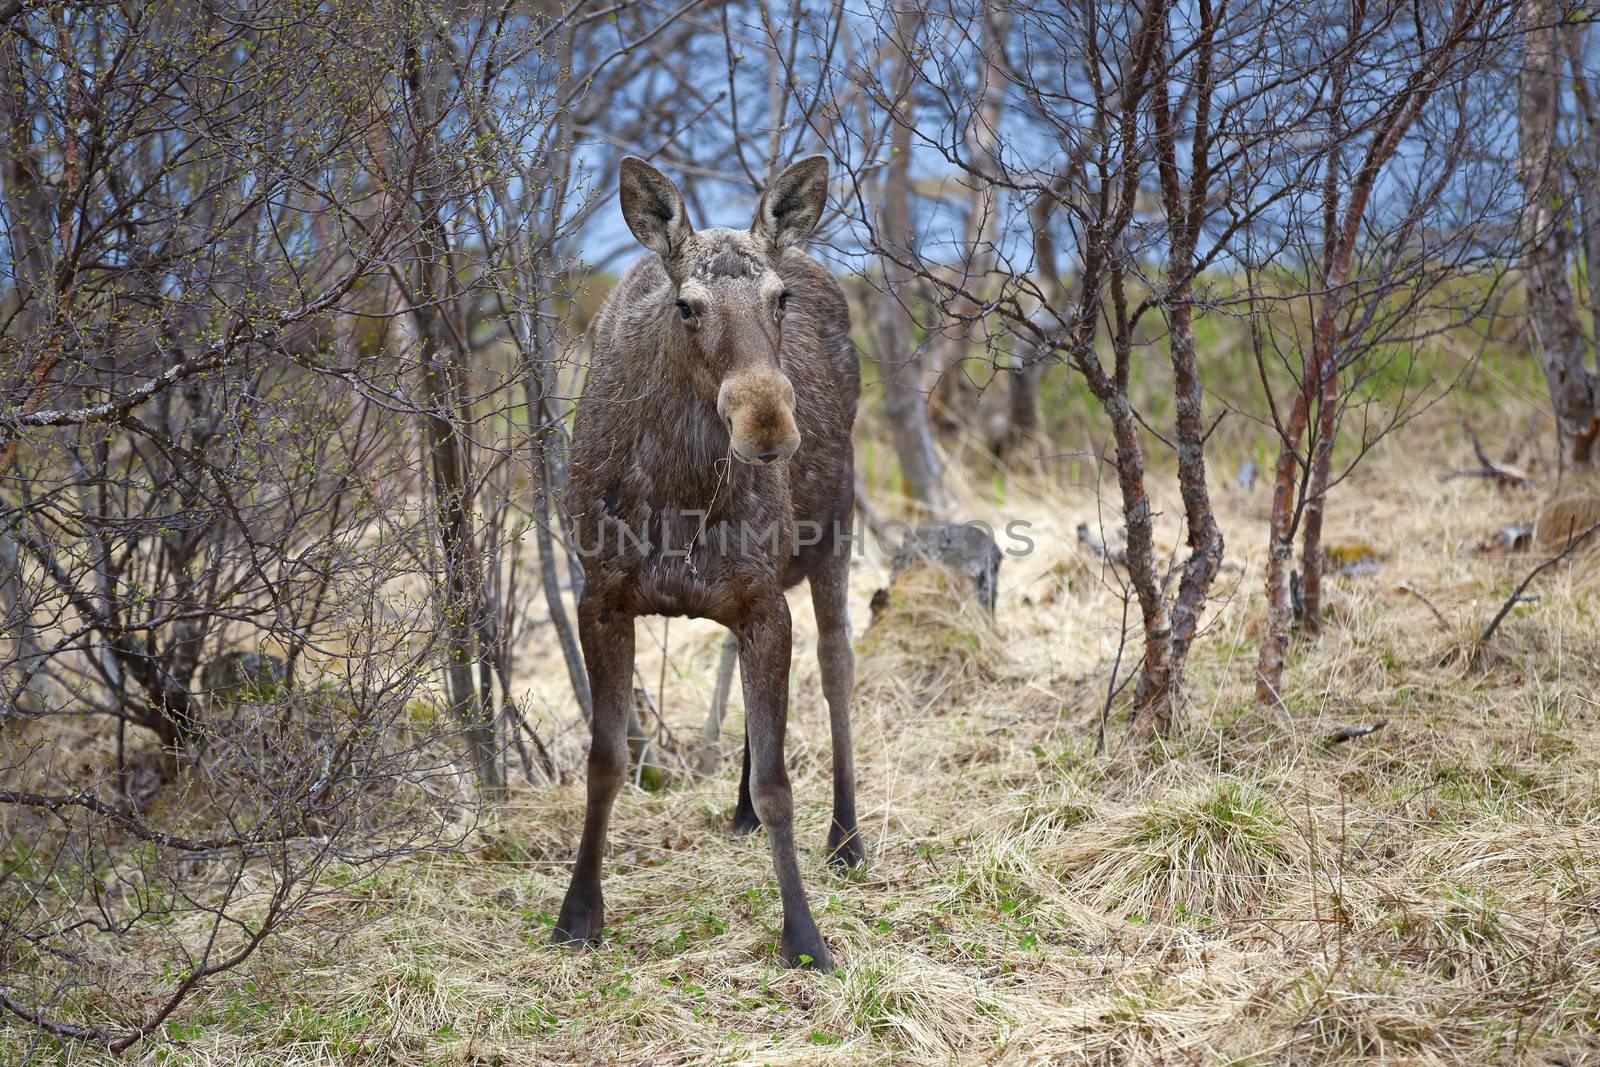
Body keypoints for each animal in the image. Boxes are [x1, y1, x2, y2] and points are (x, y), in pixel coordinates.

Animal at [556, 154, 870, 972]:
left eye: (778, 298)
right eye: (687, 306)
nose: (768, 423)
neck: (680, 494)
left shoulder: (765, 601)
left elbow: (780, 782)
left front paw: (803, 935)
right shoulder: (601, 597)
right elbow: (606, 761)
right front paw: (578, 913)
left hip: (836, 531)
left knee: (837, 667)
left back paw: (848, 837)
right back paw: (739, 814)